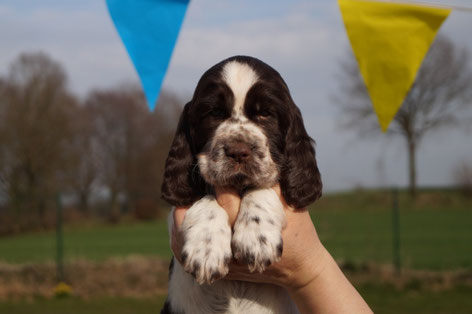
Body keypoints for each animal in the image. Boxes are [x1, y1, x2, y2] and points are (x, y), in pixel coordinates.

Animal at [160, 56, 322, 314]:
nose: (238, 151)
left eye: (266, 113)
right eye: (215, 112)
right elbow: (203, 198)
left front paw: (256, 237)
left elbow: (263, 186)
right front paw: (206, 249)